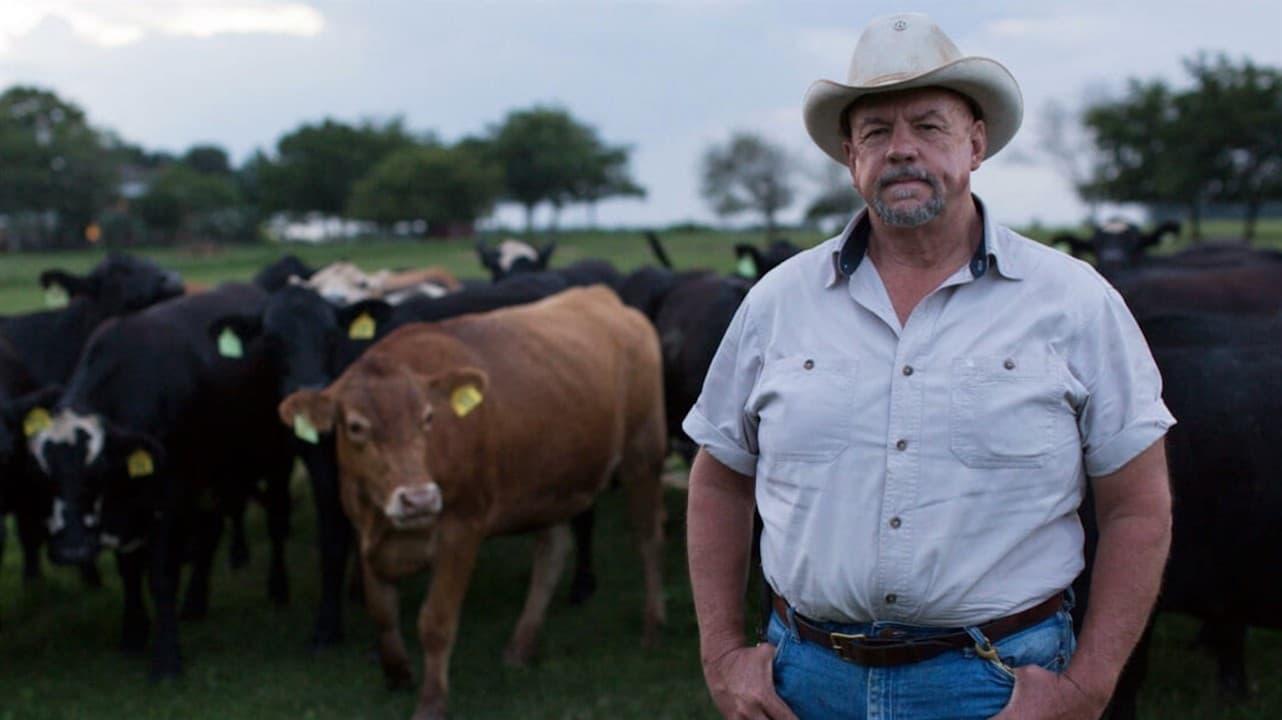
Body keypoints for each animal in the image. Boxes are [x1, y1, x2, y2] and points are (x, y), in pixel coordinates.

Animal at [24, 283, 293, 676]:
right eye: (43, 474)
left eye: (97, 470)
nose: (73, 549)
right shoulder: (130, 510)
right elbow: (129, 571)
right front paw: (134, 632)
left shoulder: (168, 500)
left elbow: (161, 575)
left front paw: (166, 659)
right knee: (211, 531)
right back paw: (195, 601)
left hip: (273, 461)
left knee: (274, 521)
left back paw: (277, 587)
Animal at [276, 285, 666, 717]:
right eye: (356, 427)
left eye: (428, 418)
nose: (419, 499)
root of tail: (604, 297)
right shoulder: (364, 530)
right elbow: (382, 613)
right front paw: (397, 675)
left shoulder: (462, 529)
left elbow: (436, 621)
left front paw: (431, 702)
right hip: (553, 480)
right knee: (552, 553)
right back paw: (521, 646)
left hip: (643, 453)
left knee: (648, 538)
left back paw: (653, 627)